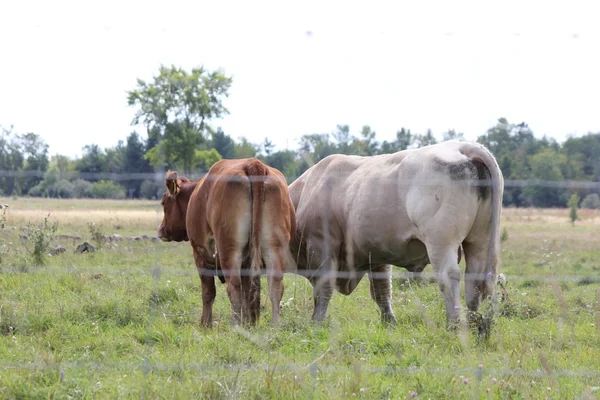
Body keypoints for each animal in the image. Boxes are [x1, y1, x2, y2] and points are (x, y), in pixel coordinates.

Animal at [156, 158, 294, 326]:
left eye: (163, 203)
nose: (160, 230)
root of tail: (253, 163)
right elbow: (247, 293)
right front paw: (248, 323)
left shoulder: (200, 256)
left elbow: (208, 293)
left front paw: (205, 325)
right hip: (273, 247)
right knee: (274, 286)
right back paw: (274, 325)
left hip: (229, 251)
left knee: (233, 288)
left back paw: (236, 326)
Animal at [288, 139, 504, 326]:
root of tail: (461, 146)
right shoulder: (377, 254)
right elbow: (382, 290)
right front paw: (389, 322)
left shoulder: (321, 245)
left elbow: (322, 289)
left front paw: (316, 321)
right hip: (479, 240)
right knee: (475, 280)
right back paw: (474, 323)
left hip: (441, 243)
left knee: (449, 278)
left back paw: (454, 324)